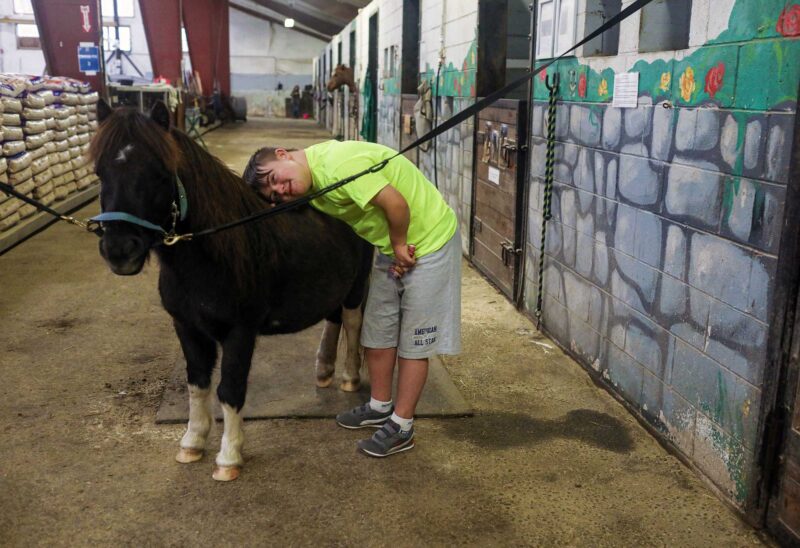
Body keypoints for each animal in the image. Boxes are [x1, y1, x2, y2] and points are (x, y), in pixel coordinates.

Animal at [90, 101, 372, 480]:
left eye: (160, 172)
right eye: (99, 172)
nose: (120, 250)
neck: (213, 256)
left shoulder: (240, 332)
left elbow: (230, 389)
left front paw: (229, 457)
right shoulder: (186, 327)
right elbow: (197, 383)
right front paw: (192, 442)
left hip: (357, 285)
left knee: (352, 322)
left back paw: (349, 378)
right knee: (333, 318)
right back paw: (324, 371)